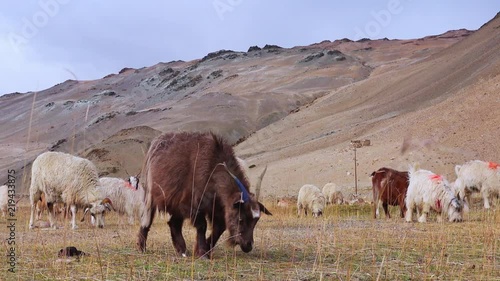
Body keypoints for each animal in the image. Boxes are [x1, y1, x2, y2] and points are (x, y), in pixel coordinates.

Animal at [137, 132, 272, 258]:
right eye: (241, 219)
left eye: (256, 221)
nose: (248, 246)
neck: (213, 166)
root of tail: (156, 142)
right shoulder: (194, 204)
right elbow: (202, 226)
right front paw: (202, 253)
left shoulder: (217, 207)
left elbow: (219, 228)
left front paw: (206, 248)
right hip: (151, 195)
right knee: (148, 219)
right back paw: (142, 247)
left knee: (174, 223)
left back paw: (182, 250)